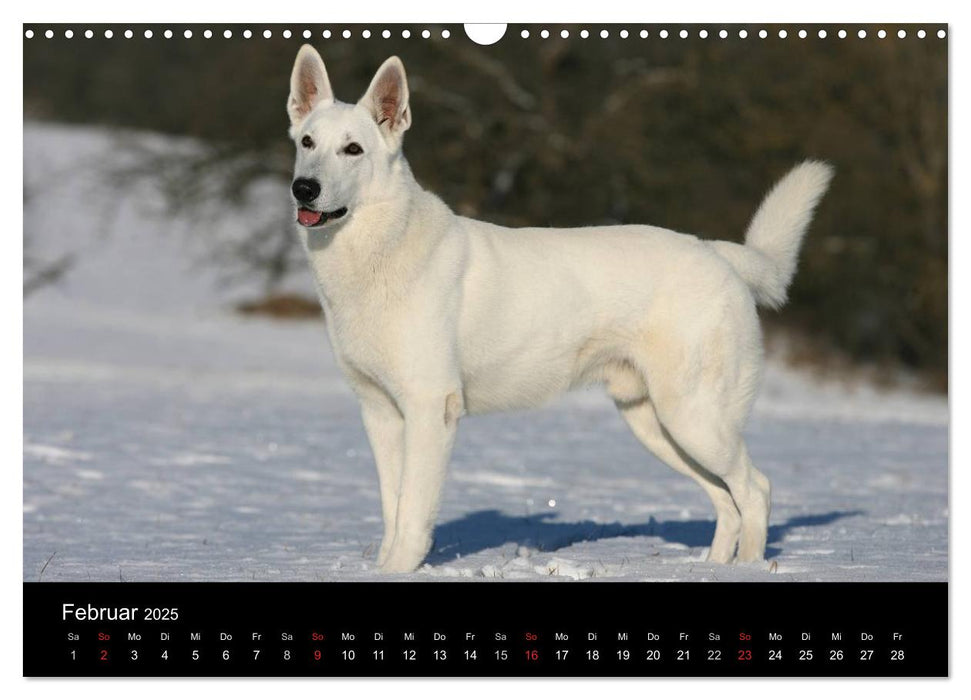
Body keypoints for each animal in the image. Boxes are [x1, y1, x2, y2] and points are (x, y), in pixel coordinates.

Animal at [282, 45, 836, 576]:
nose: (303, 188)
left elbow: (414, 513)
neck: (377, 251)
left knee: (755, 490)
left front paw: (398, 570)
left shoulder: (429, 410)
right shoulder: (380, 413)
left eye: (353, 150)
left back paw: (750, 567)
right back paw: (713, 568)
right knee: (726, 501)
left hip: (696, 420)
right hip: (659, 426)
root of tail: (717, 253)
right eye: (307, 143)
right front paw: (382, 568)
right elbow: (392, 507)